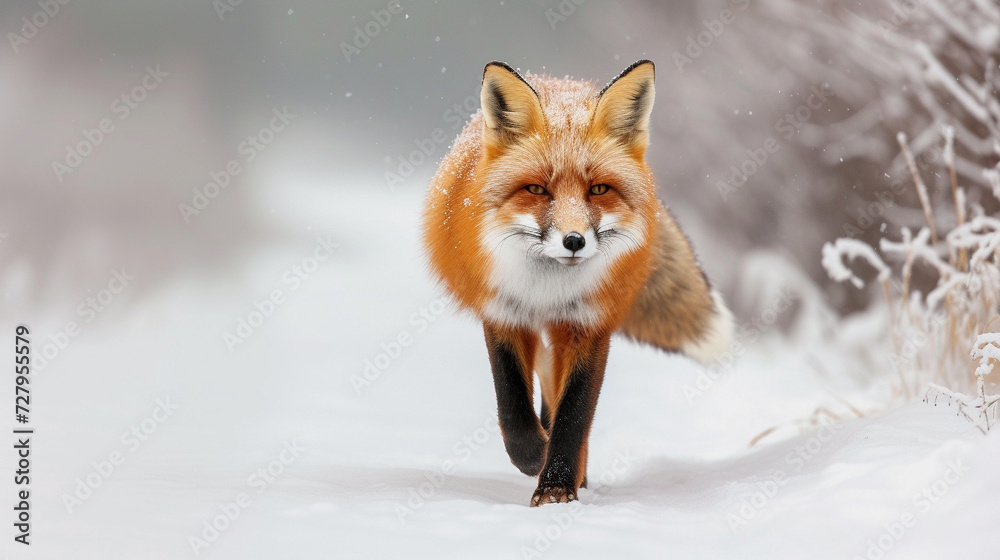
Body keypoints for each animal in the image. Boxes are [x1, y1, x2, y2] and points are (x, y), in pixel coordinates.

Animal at [422, 60, 733, 506]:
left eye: (598, 189)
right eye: (537, 189)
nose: (574, 241)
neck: (548, 291)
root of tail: (561, 82)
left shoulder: (589, 324)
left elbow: (574, 413)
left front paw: (556, 486)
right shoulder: (504, 312)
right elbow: (511, 401)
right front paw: (532, 455)